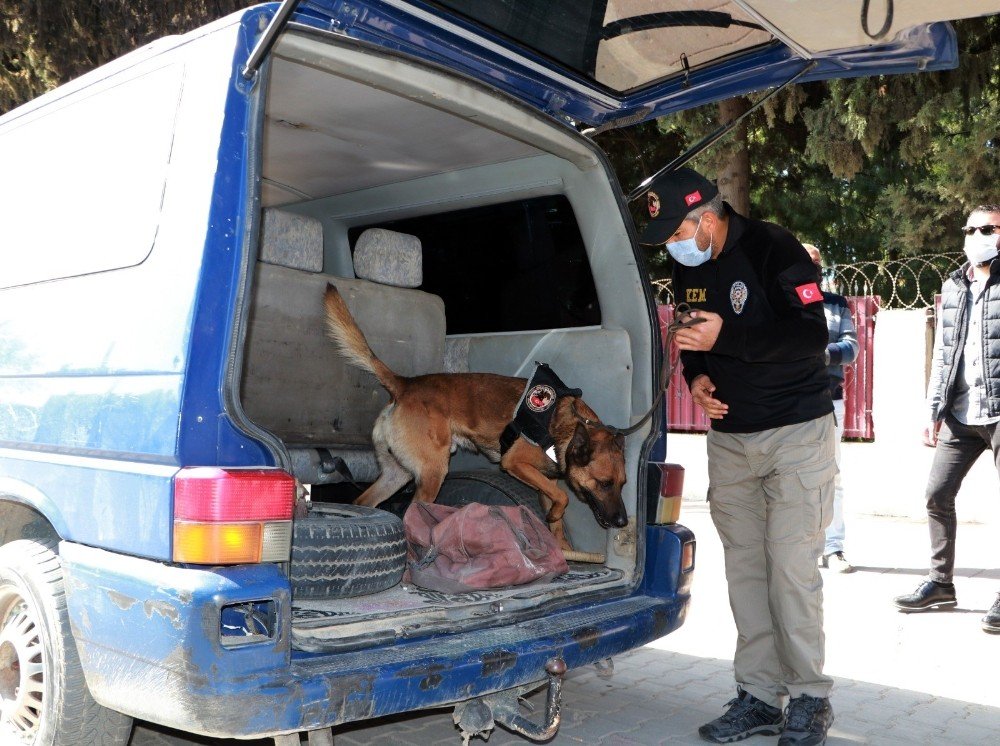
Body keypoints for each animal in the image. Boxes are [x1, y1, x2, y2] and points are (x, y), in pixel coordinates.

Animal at [324, 280, 624, 548]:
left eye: (622, 484)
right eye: (604, 484)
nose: (622, 522)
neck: (568, 425)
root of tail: (405, 384)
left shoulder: (545, 481)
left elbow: (558, 513)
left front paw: (562, 548)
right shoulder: (515, 463)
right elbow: (564, 497)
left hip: (397, 474)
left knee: (364, 503)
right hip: (433, 472)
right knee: (412, 513)